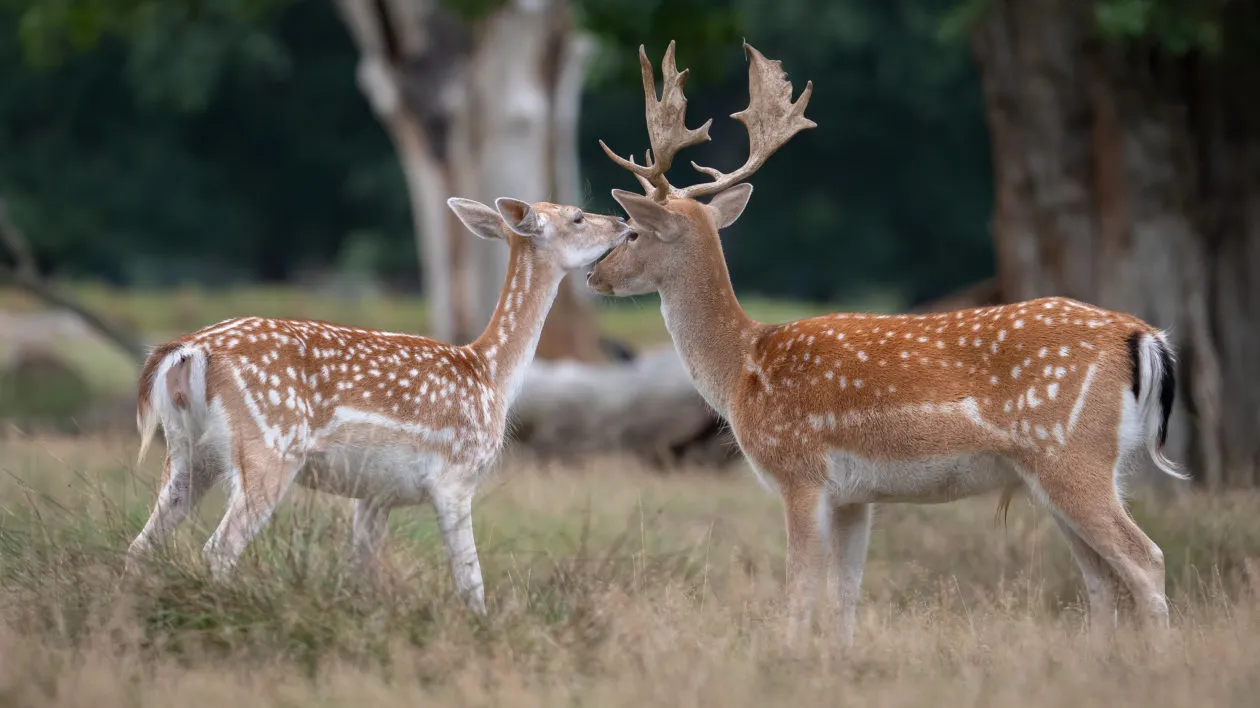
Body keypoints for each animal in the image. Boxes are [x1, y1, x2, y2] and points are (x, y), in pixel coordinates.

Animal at [132, 195, 635, 609]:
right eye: (577, 215)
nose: (624, 223)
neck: (489, 372)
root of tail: (187, 350)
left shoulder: (375, 494)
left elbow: (362, 575)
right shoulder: (455, 477)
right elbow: (471, 582)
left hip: (188, 452)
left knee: (142, 544)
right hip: (270, 445)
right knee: (218, 549)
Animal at [584, 41, 1184, 642]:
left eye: (632, 232)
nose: (594, 274)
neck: (742, 368)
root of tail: (1144, 336)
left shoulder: (800, 471)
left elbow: (800, 592)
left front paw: (786, 654)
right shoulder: (855, 496)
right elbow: (845, 594)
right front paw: (839, 656)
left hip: (1071, 453)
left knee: (1147, 559)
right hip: (1065, 471)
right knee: (1101, 579)